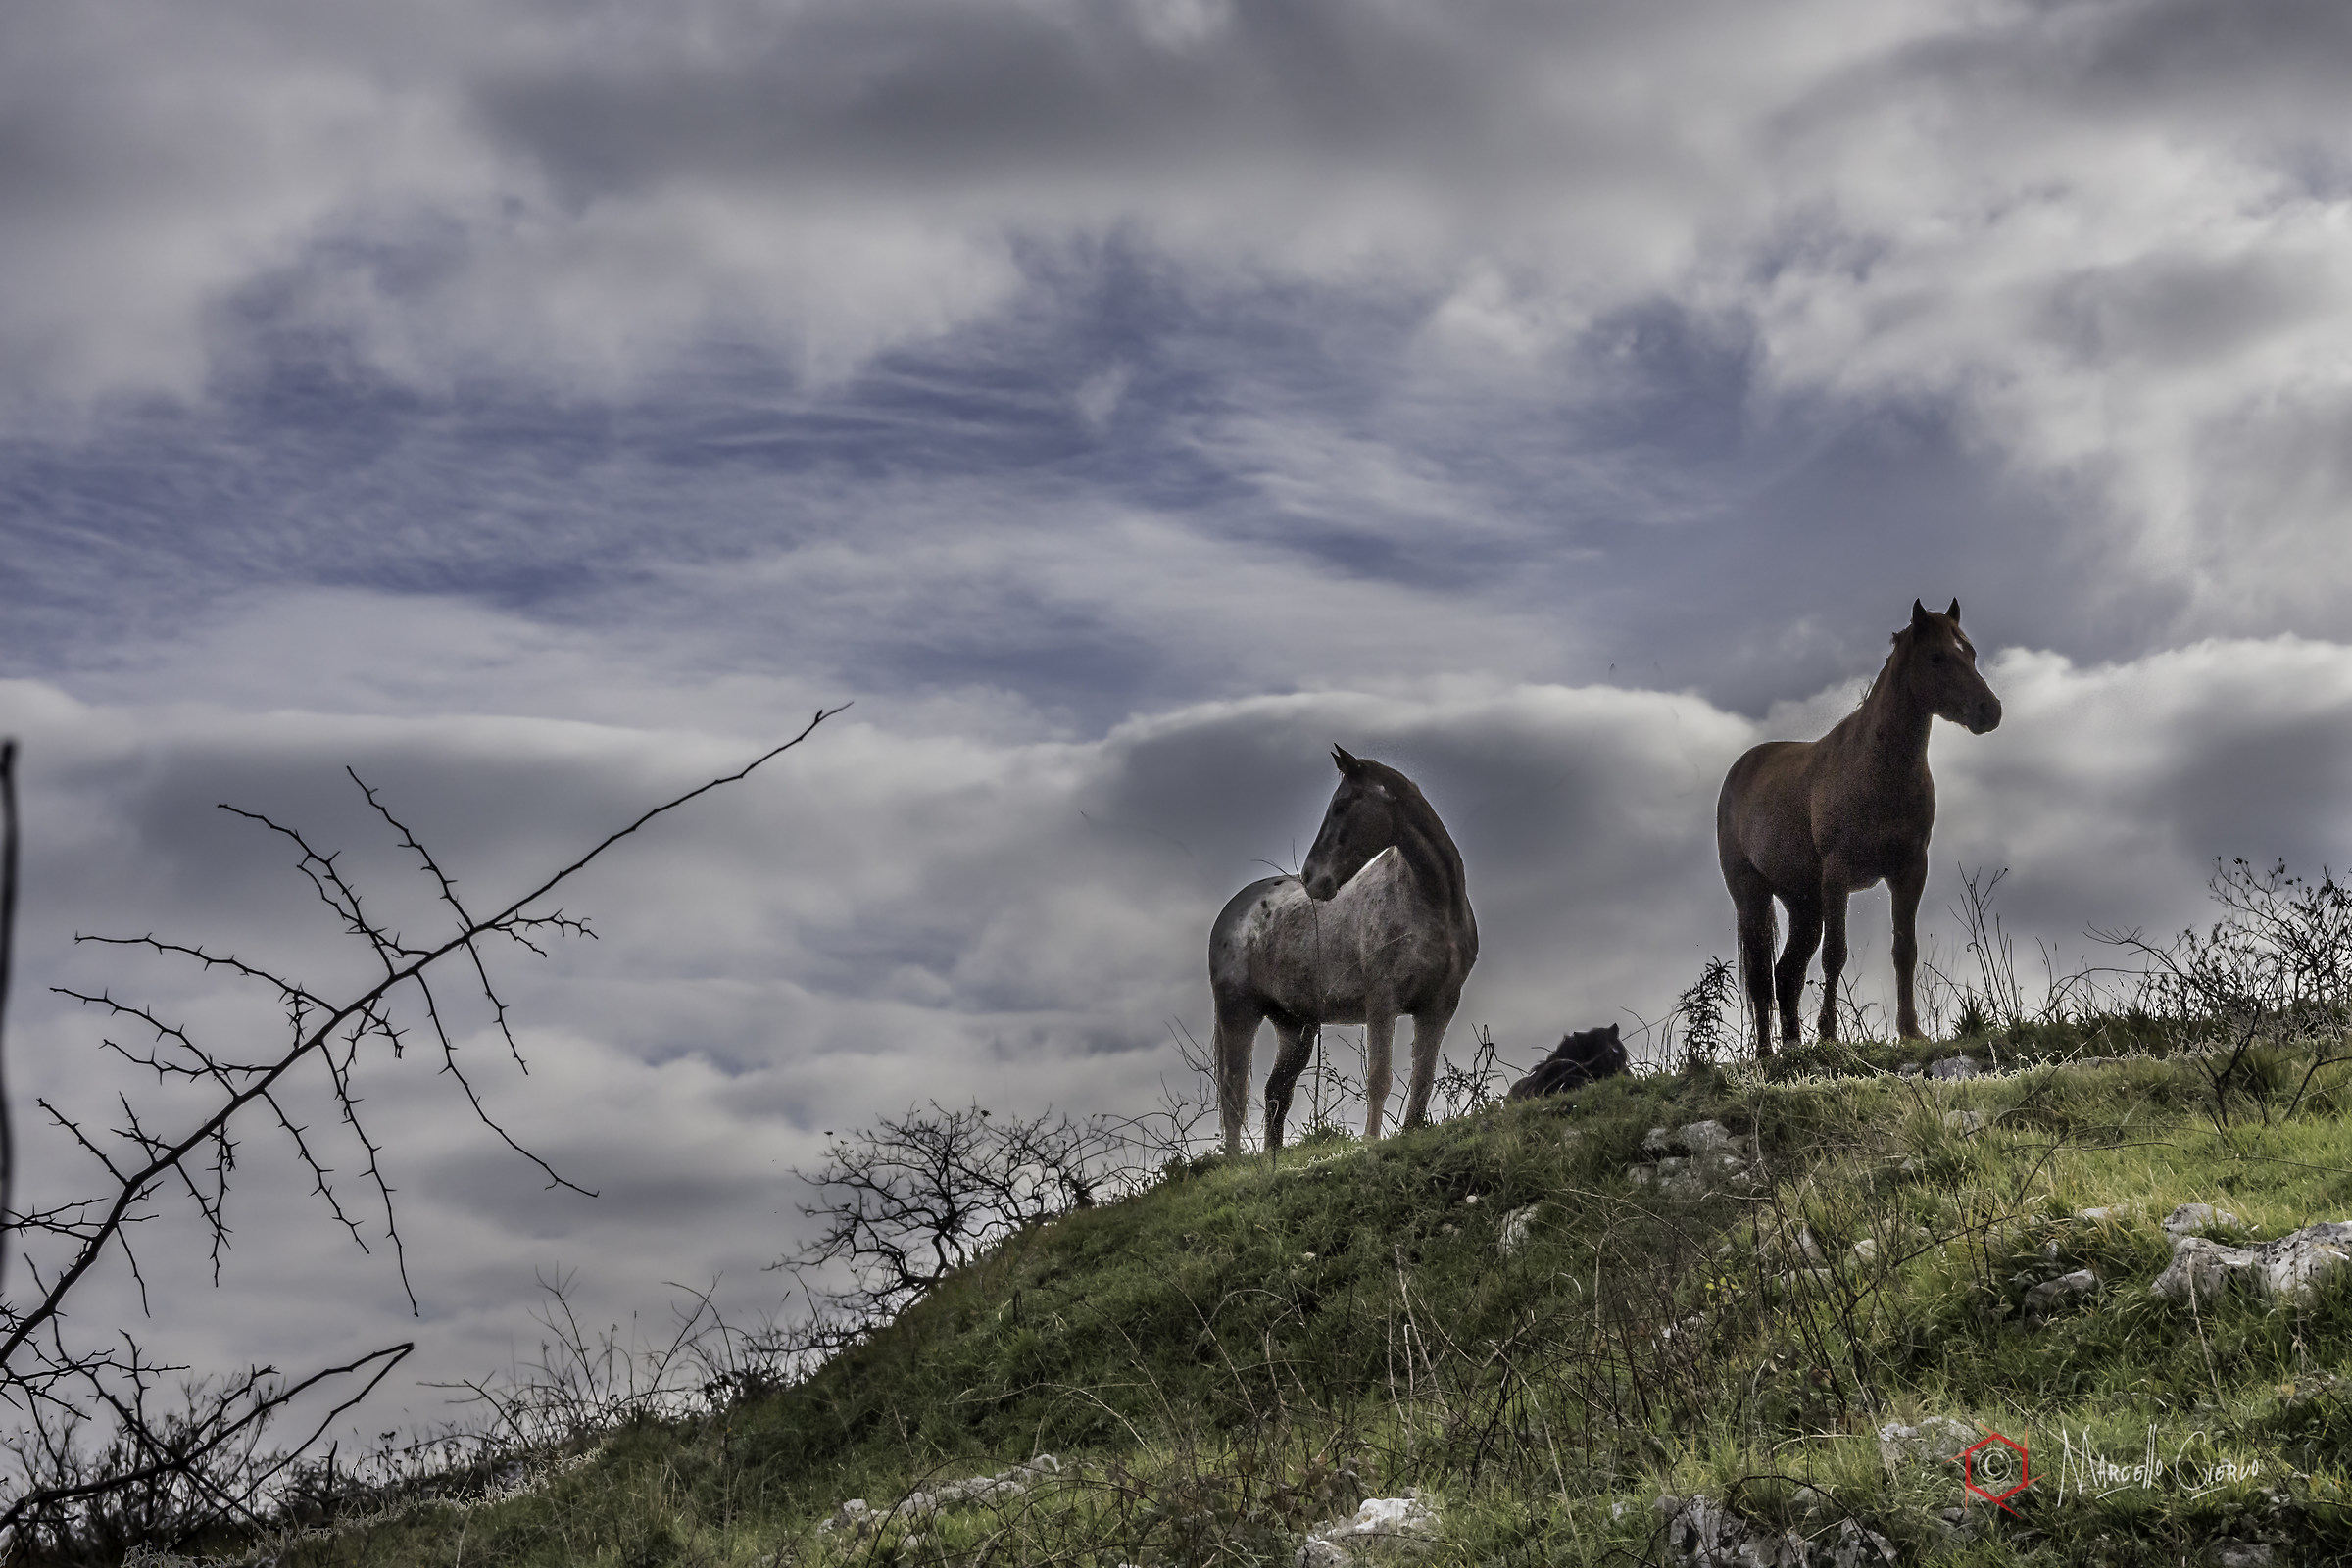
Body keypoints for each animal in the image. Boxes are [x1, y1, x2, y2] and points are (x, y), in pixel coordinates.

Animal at [1207, 748, 1479, 1155]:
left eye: (1341, 806)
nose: (1312, 877)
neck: (1431, 902)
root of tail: (1229, 914)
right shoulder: (1383, 1002)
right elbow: (1380, 1077)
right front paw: (1371, 1141)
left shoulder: (1439, 1006)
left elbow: (1423, 1079)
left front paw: (1411, 1133)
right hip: (1239, 1013)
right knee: (1233, 1095)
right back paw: (1238, 1162)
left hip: (1295, 1026)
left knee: (1276, 1092)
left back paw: (1271, 1158)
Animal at [1716, 599, 2001, 1057]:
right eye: (1937, 657)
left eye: (1970, 653)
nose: (1990, 711)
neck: (1878, 768)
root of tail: (1740, 769)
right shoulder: (1837, 876)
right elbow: (1836, 954)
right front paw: (1829, 1033)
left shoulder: (1909, 872)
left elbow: (1905, 949)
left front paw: (1910, 1031)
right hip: (1753, 898)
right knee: (1761, 975)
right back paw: (1766, 1053)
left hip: (1803, 903)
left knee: (1787, 972)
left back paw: (1793, 1045)